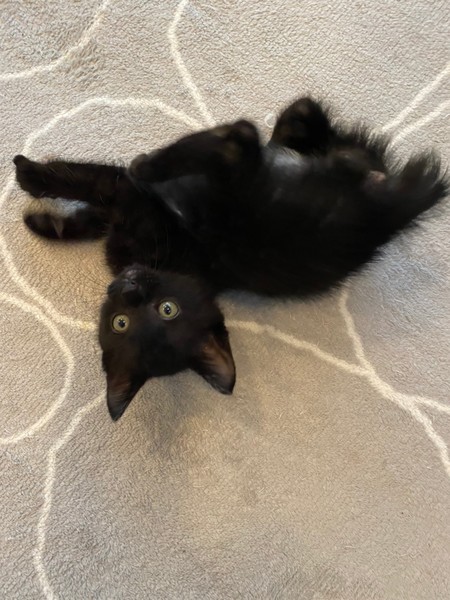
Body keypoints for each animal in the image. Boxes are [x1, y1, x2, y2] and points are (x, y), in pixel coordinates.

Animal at [14, 97, 447, 421]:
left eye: (166, 309)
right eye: (121, 322)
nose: (129, 287)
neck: (165, 261)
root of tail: (387, 220)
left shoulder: (130, 200)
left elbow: (85, 179)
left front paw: (29, 177)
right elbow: (87, 217)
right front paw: (44, 224)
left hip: (240, 175)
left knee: (239, 141)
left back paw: (155, 160)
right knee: (306, 118)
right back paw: (289, 132)